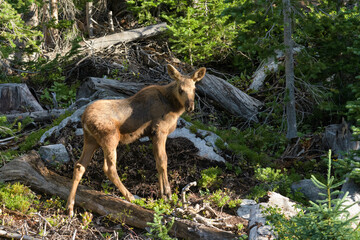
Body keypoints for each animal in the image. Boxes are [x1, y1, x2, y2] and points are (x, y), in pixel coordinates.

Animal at [66, 63, 207, 216]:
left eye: (194, 89)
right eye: (181, 89)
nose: (190, 107)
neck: (173, 108)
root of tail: (84, 119)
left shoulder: (152, 135)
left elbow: (157, 162)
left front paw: (162, 194)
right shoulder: (159, 131)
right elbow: (163, 161)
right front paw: (167, 195)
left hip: (91, 140)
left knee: (79, 165)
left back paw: (70, 207)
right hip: (109, 138)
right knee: (109, 168)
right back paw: (130, 197)